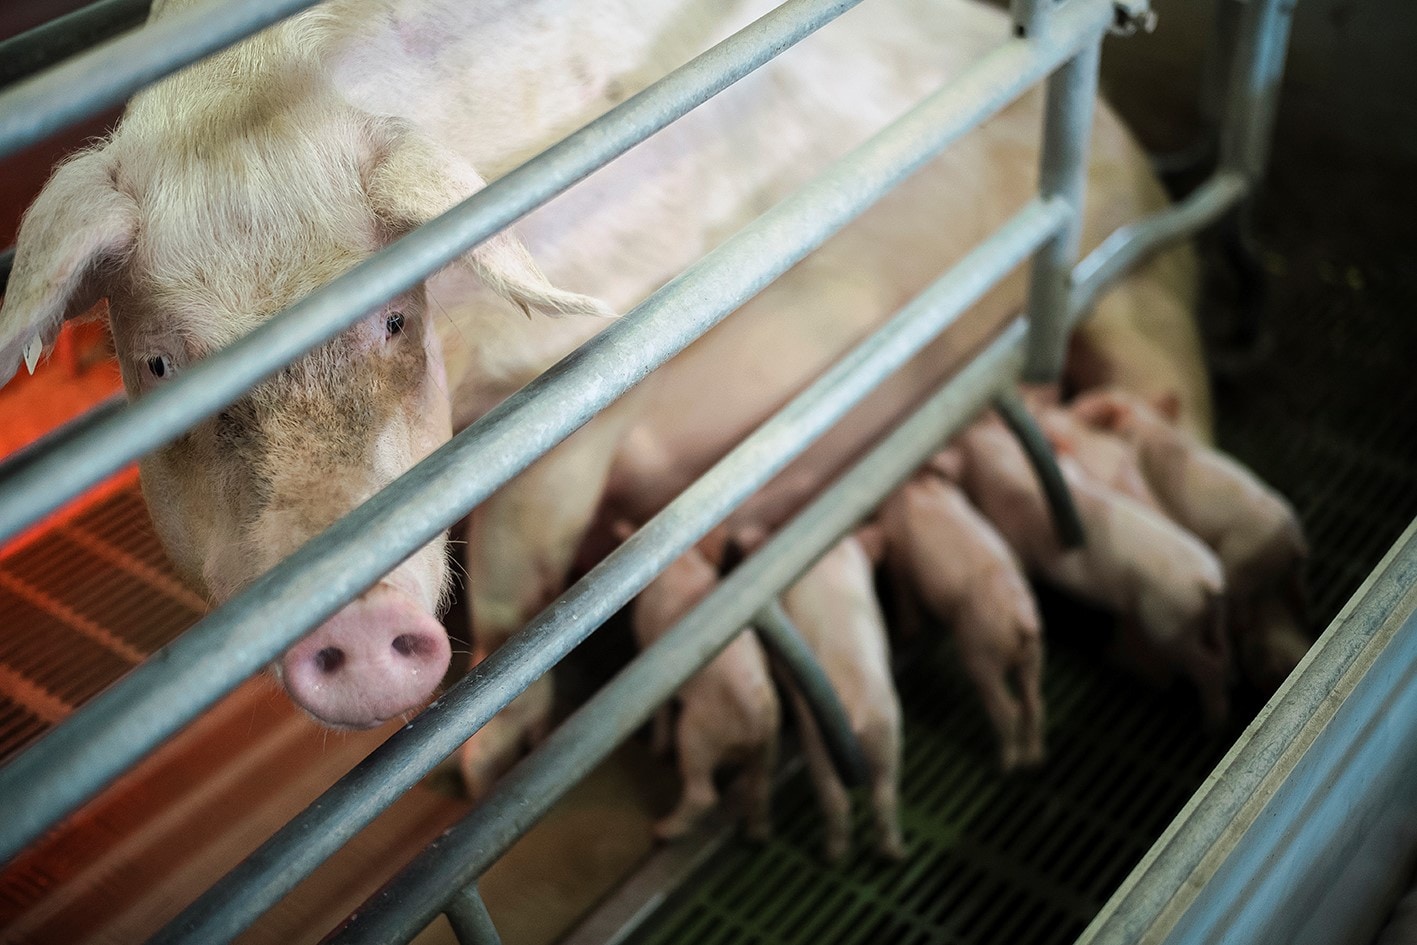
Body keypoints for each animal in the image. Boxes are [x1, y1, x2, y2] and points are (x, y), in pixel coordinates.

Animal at [626, 538, 779, 841]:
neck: (684, 566)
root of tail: (755, 710)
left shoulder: (644, 637)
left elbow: (661, 707)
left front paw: (655, 748)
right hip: (768, 743)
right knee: (761, 785)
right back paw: (758, 835)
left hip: (697, 737)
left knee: (703, 795)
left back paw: (662, 829)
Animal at [781, 534, 904, 862]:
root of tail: (852, 710)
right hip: (885, 735)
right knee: (882, 798)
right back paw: (894, 853)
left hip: (819, 746)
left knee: (837, 801)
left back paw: (835, 857)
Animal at [876, 471, 1045, 770]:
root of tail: (1019, 620)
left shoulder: (898, 559)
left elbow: (905, 598)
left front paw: (907, 632)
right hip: (1033, 655)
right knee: (1034, 703)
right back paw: (1035, 758)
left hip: (982, 655)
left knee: (1008, 709)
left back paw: (1006, 763)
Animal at [952, 413, 1231, 722]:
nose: (970, 427)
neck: (1006, 467)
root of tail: (1207, 580)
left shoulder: (1019, 540)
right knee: (1223, 652)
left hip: (1170, 624)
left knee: (1209, 665)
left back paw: (1215, 719)